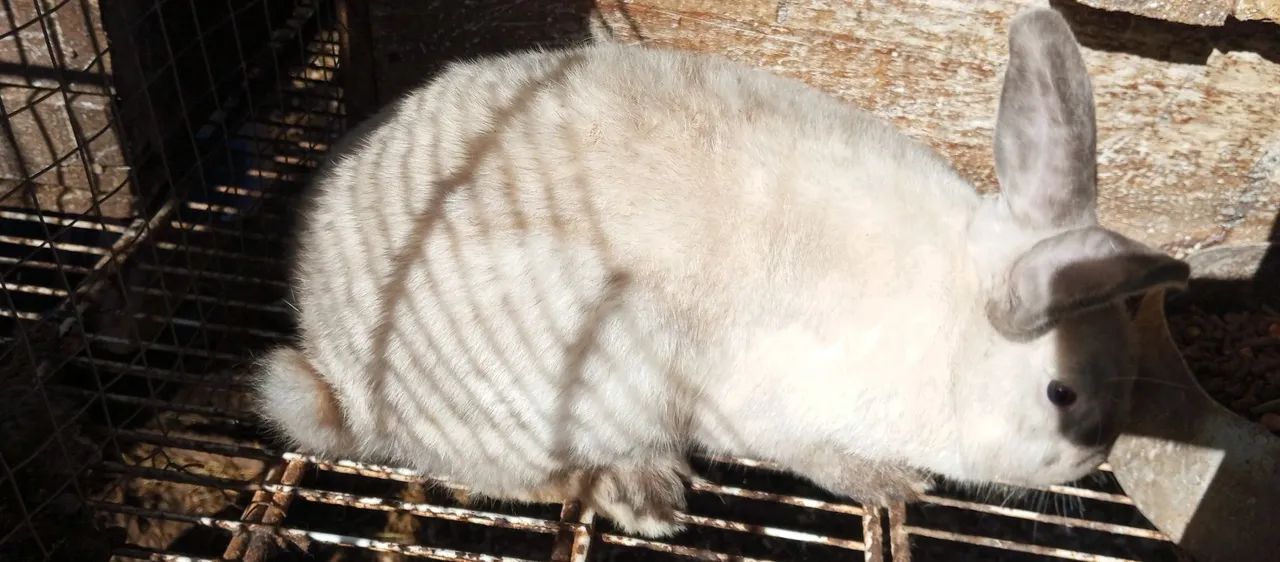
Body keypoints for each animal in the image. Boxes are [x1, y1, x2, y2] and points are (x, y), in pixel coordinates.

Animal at [254, 6, 1189, 538]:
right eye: (1061, 394)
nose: (1094, 458)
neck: (950, 334)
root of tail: (337, 376)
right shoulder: (765, 406)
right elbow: (814, 454)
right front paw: (891, 486)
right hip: (586, 387)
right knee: (529, 477)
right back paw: (648, 496)